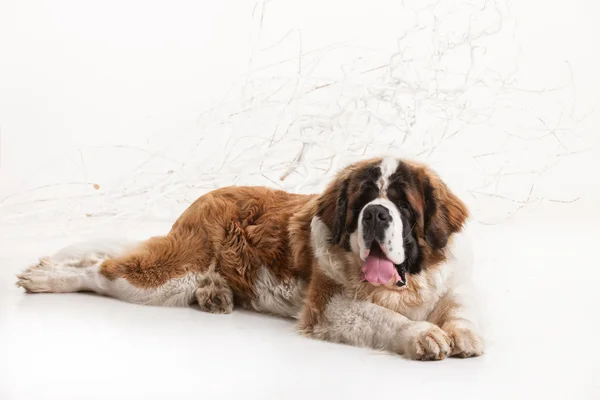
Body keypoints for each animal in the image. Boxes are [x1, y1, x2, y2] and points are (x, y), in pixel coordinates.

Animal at [15, 158, 482, 360]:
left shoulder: (442, 284)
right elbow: (385, 318)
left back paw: (215, 295)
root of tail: (205, 197)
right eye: (363, 199)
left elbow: (458, 306)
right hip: (169, 275)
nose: (376, 214)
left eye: (402, 205)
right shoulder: (329, 307)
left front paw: (461, 333)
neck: (403, 288)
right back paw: (48, 277)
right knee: (102, 272)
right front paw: (422, 334)